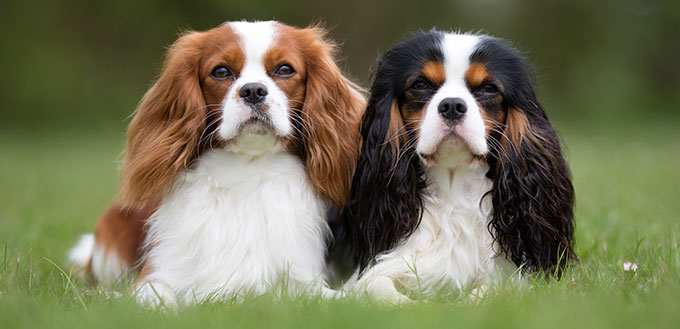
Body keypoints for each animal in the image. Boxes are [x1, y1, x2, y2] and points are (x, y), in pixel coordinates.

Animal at [68, 20, 364, 304]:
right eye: (221, 72)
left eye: (284, 69)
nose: (253, 90)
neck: (247, 169)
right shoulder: (156, 275)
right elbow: (152, 299)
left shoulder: (302, 280)